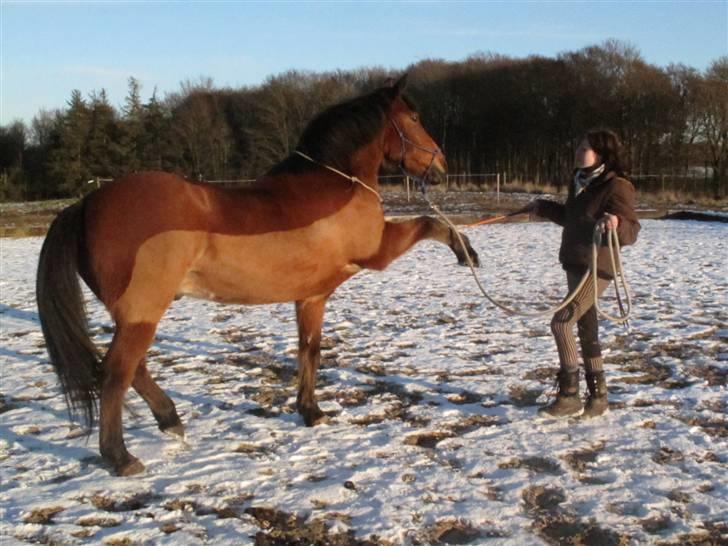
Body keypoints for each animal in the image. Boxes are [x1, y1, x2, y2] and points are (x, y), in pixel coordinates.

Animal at [35, 74, 478, 474]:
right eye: (414, 116)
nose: (440, 166)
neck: (336, 183)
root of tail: (85, 204)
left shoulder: (312, 297)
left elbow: (309, 350)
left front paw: (310, 411)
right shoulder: (377, 253)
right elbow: (429, 223)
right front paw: (466, 251)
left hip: (134, 316)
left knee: (132, 369)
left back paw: (170, 420)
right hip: (142, 314)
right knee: (116, 373)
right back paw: (121, 457)